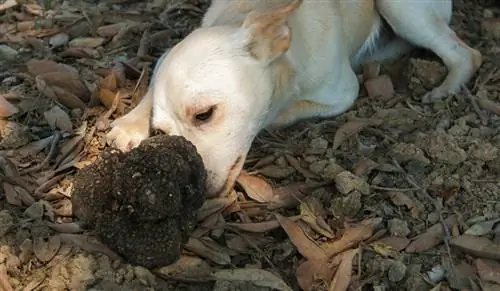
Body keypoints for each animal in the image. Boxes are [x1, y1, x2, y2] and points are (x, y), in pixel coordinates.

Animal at [105, 0, 480, 198]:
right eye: (163, 134)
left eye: (204, 114)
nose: (191, 188)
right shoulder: (166, 55)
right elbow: (155, 74)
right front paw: (131, 122)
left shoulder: (341, 95)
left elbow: (277, 113)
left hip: (401, 9)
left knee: (466, 53)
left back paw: (447, 87)